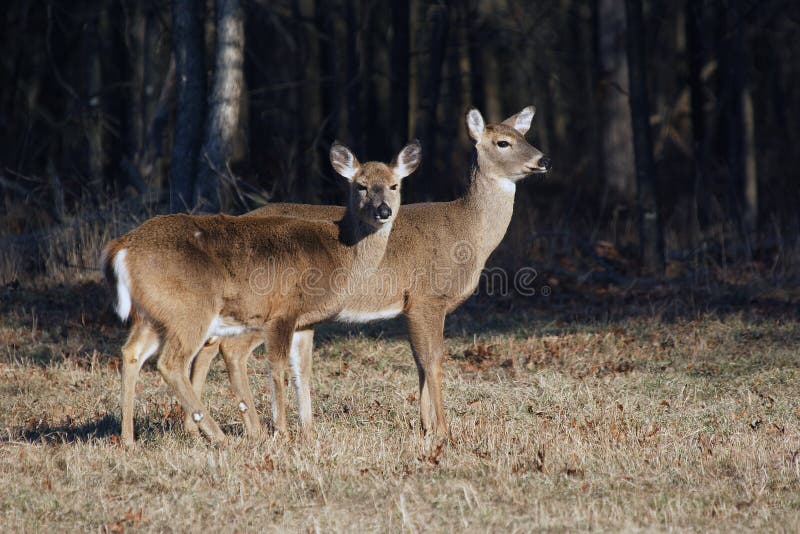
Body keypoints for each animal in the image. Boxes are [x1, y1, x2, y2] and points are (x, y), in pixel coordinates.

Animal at [103, 140, 422, 446]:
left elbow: (302, 371)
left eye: (394, 185)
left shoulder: (305, 320)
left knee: (131, 353)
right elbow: (277, 368)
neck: (338, 252)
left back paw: (129, 440)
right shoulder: (283, 312)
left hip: (152, 314)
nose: (383, 211)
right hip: (189, 310)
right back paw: (219, 437)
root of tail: (122, 247)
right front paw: (283, 432)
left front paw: (308, 433)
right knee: (171, 363)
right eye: (361, 185)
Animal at [188, 104, 552, 440]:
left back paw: (197, 428)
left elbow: (419, 362)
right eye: (503, 142)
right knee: (229, 349)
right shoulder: (426, 297)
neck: (469, 231)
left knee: (209, 346)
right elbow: (433, 360)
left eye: (525, 136)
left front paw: (425, 428)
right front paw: (444, 432)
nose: (543, 159)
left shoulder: (410, 306)